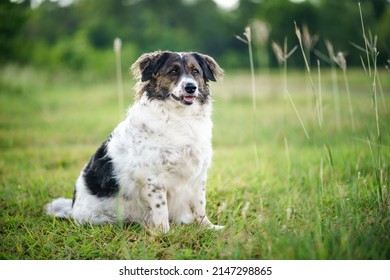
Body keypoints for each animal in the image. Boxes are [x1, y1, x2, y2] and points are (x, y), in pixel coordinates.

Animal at [45, 50, 222, 232]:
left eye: (196, 72)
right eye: (173, 71)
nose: (191, 87)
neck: (180, 118)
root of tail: (72, 208)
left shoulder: (198, 175)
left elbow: (200, 204)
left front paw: (208, 227)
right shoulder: (153, 178)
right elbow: (161, 208)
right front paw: (164, 232)